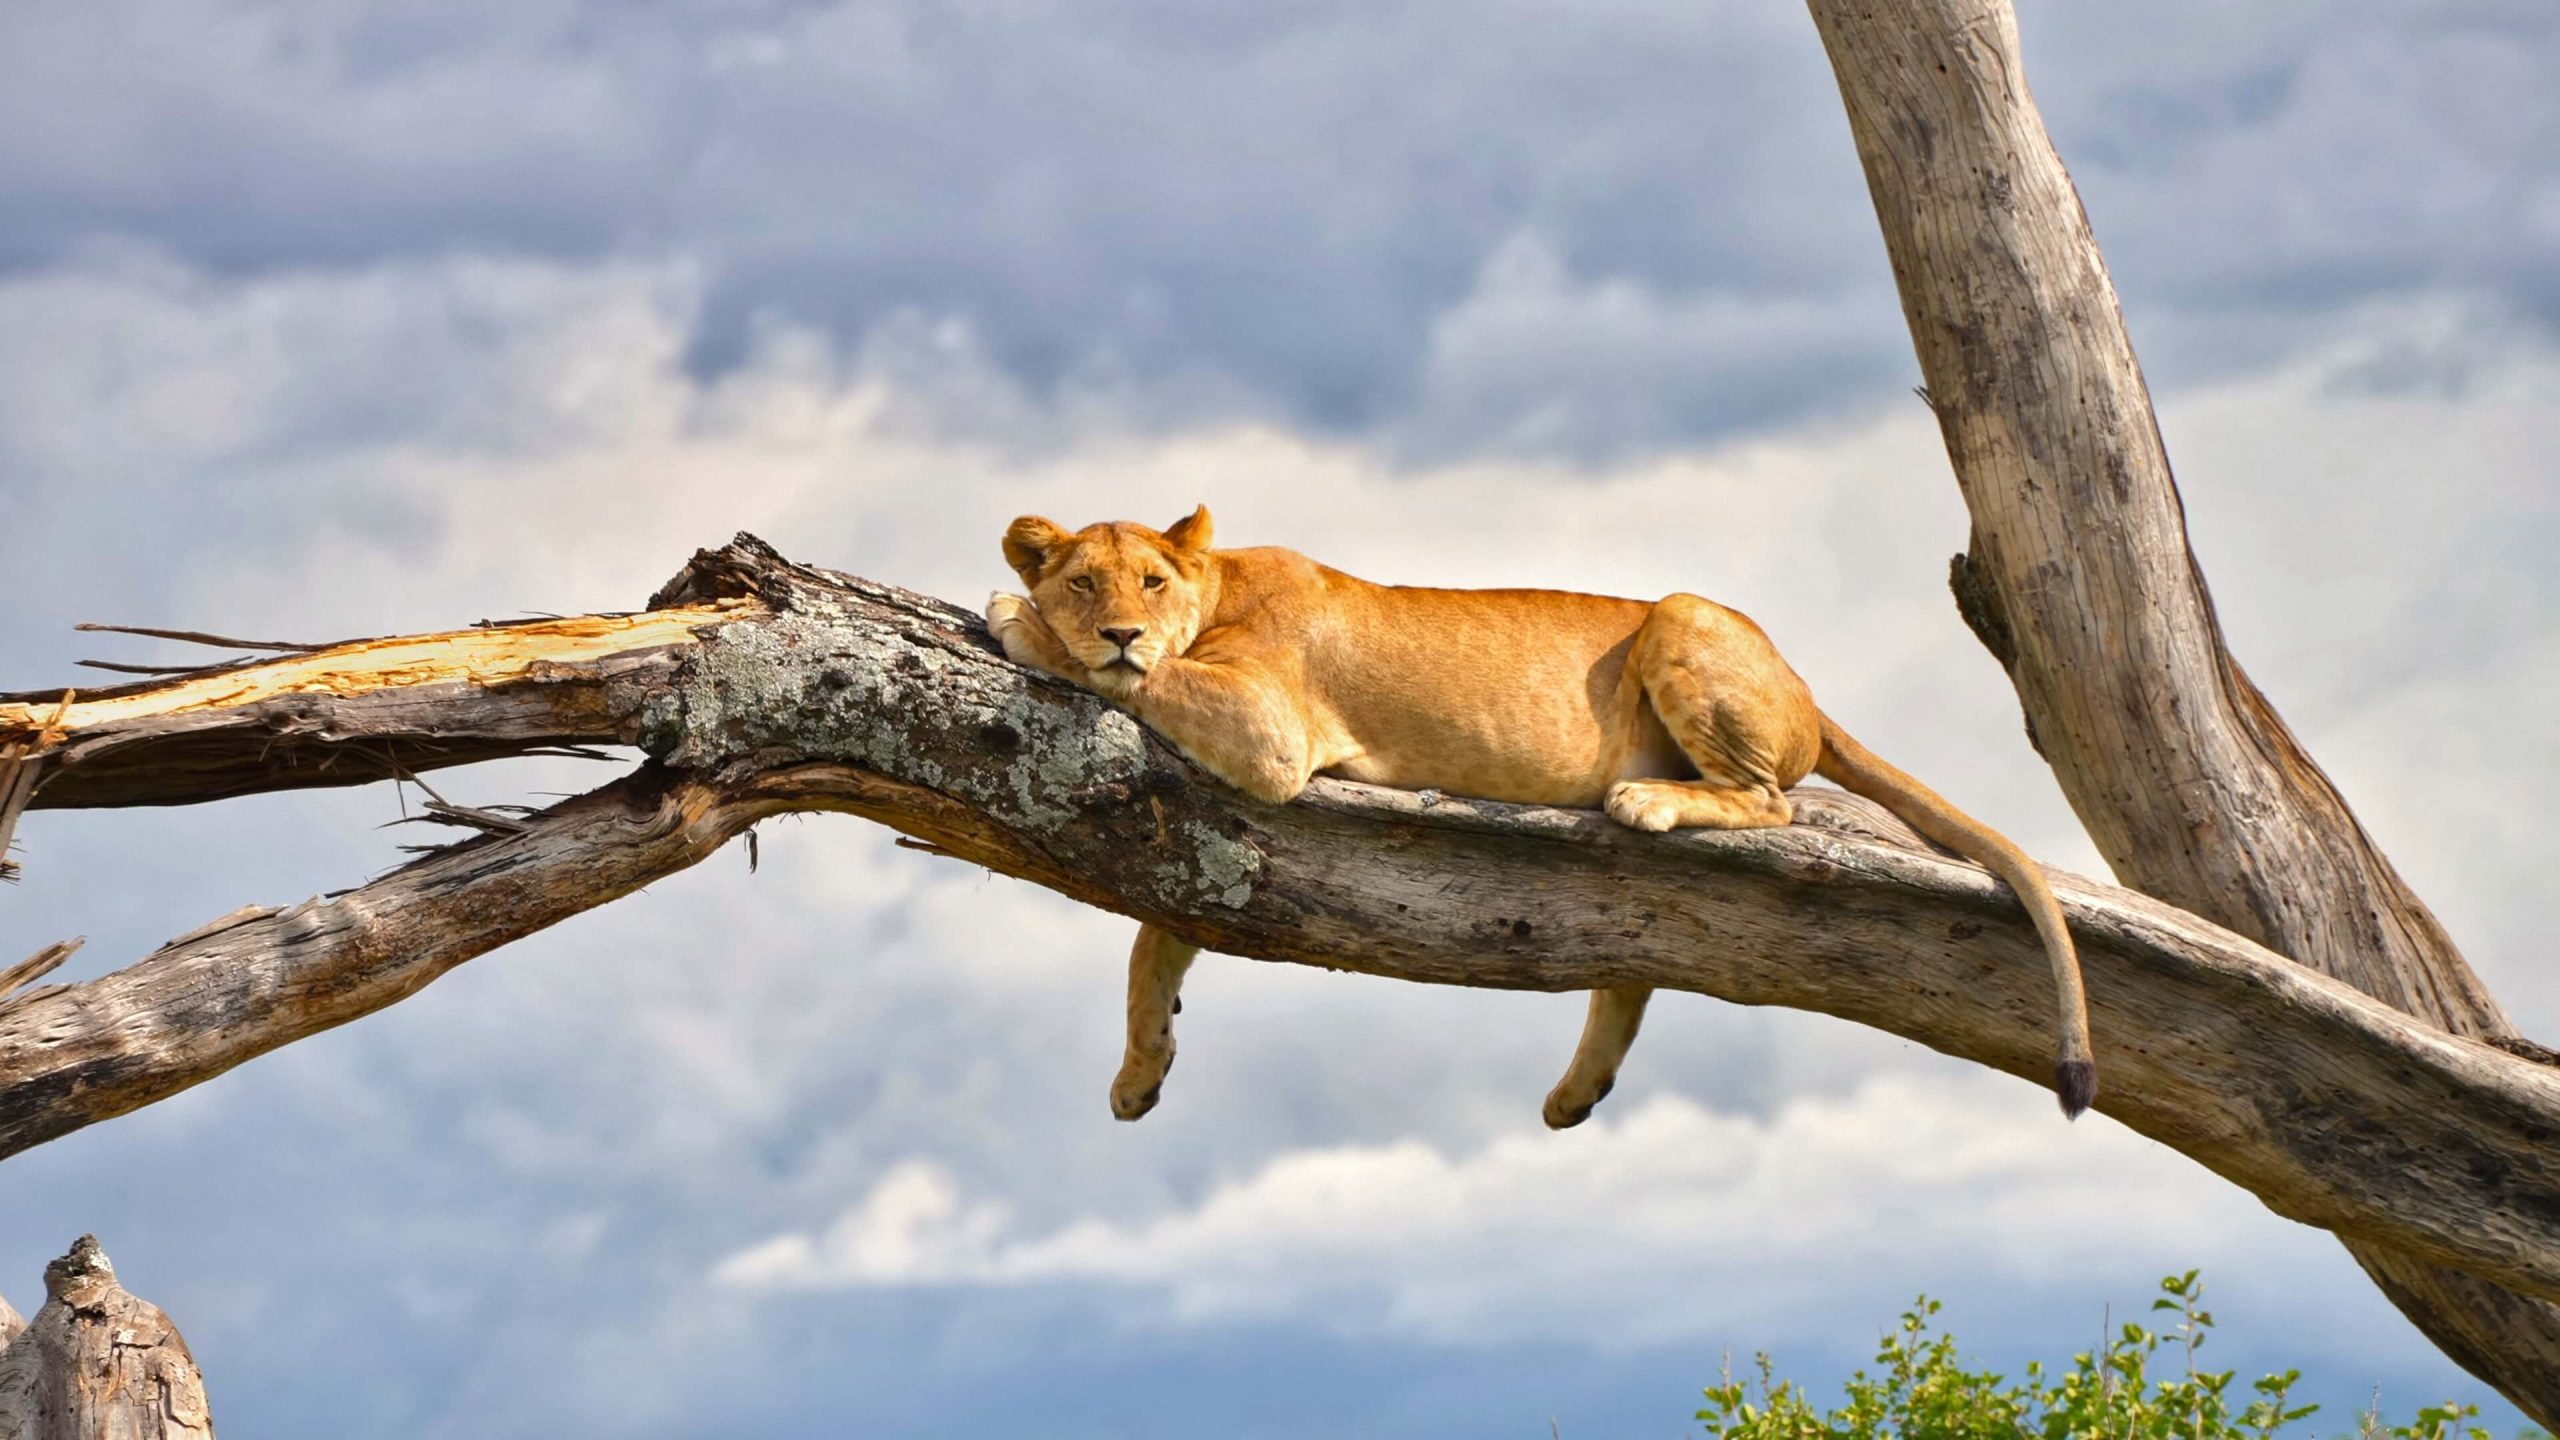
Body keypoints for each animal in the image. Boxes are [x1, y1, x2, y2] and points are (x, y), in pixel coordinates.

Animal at [986, 505, 2093, 1128]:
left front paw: (1017, 621)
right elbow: (1152, 949)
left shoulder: (1268, 734)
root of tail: (1808, 695)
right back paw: (1573, 1097)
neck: (1215, 592)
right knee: (1635, 966)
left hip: (1682, 613)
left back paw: (1645, 799)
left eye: (1149, 581)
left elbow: (1147, 681)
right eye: (1085, 580)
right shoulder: (1207, 842)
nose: (1119, 628)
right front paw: (1138, 1079)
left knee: (1774, 804)